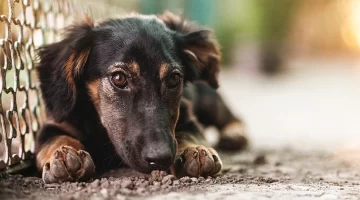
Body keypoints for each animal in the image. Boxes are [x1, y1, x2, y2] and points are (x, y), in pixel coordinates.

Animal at [34, 12, 248, 183]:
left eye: (174, 79)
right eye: (119, 78)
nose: (160, 158)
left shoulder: (187, 116)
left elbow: (189, 133)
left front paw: (196, 150)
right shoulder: (55, 123)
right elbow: (56, 138)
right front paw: (64, 155)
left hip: (209, 100)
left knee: (231, 116)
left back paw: (234, 134)